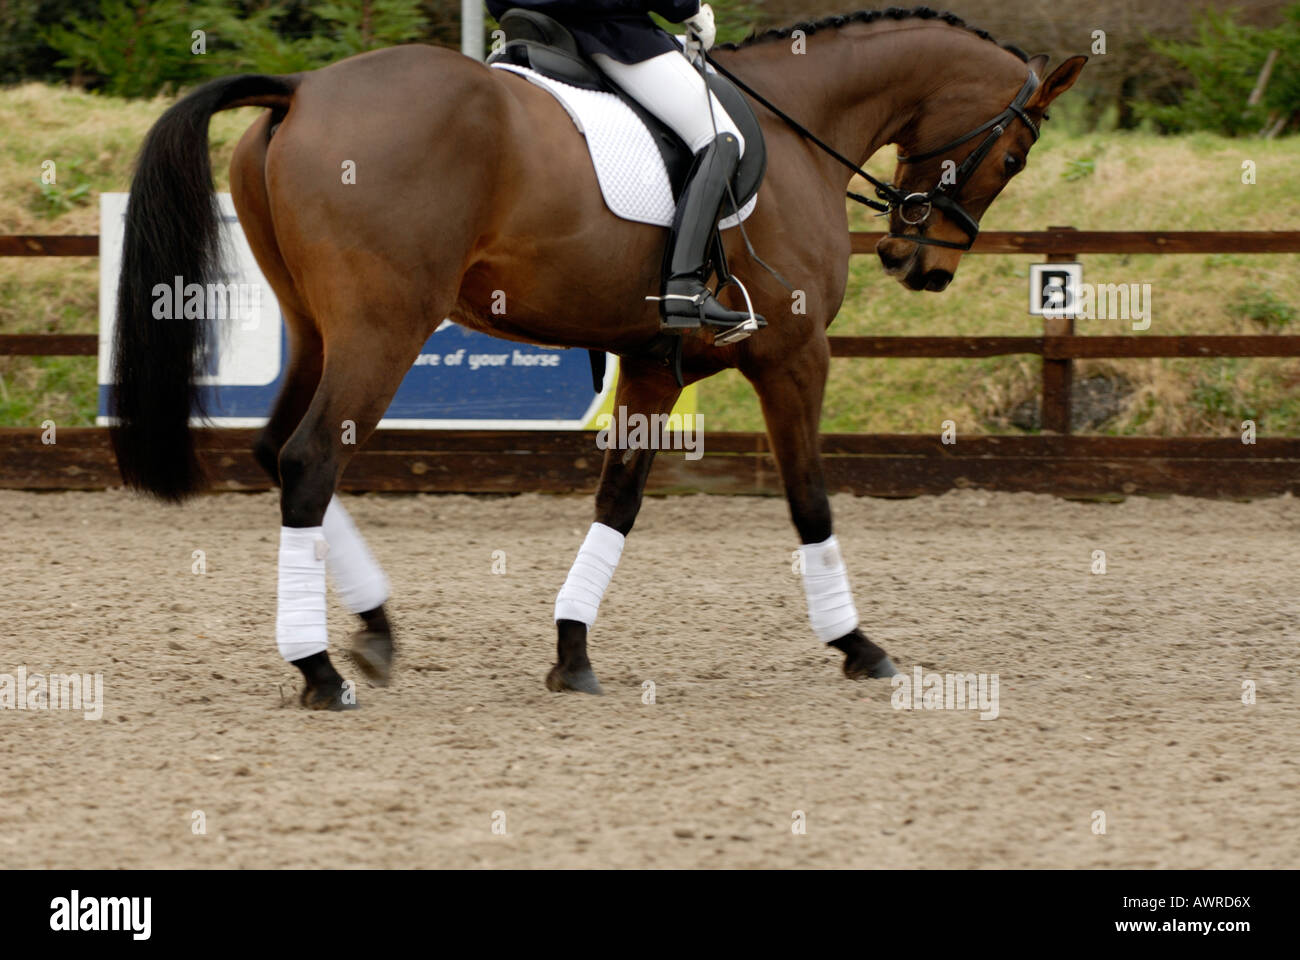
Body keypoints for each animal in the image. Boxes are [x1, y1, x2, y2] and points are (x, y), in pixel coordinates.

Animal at [111, 7, 1086, 707]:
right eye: (1017, 152)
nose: (922, 265)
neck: (804, 127)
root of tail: (304, 91)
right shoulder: (794, 356)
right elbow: (810, 500)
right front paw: (858, 645)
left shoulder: (653, 364)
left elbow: (618, 501)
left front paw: (571, 653)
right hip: (383, 329)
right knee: (311, 461)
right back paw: (319, 669)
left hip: (319, 331)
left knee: (275, 452)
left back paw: (376, 631)